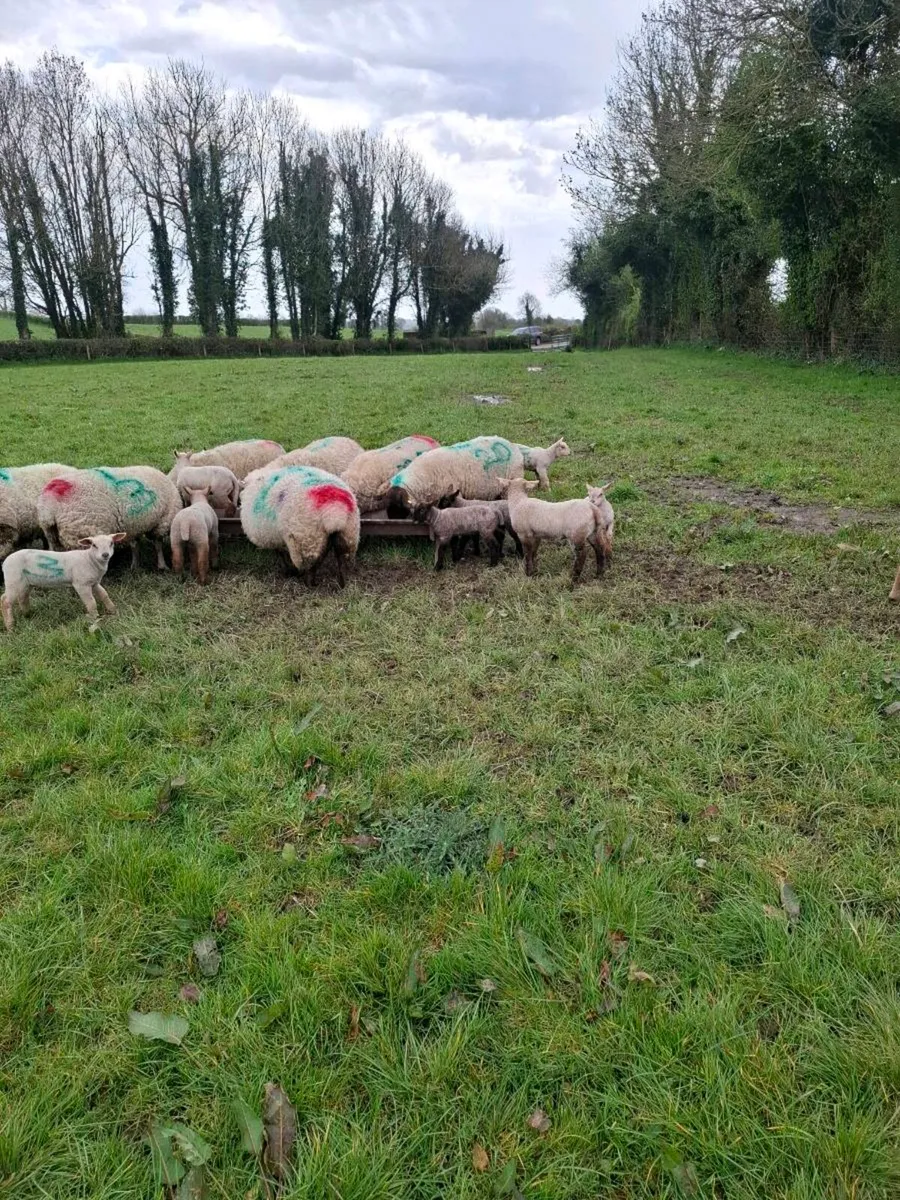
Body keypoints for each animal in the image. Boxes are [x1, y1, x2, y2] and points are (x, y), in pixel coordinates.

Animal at [37, 466, 182, 571]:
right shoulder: (162, 522)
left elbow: (135, 545)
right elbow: (158, 545)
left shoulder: (133, 526)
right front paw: (162, 566)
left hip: (51, 534)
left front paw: (135, 566)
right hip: (80, 534)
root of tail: (49, 507)